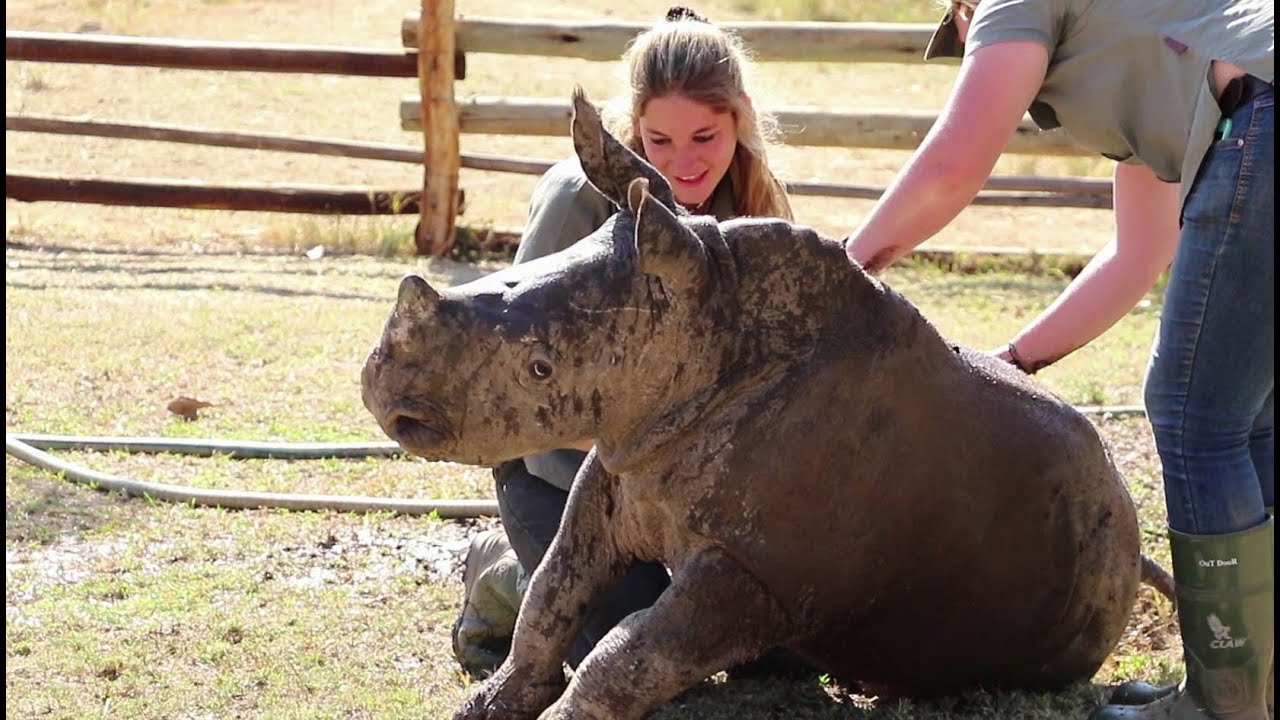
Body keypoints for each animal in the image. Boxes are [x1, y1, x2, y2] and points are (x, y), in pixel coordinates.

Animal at [361, 88, 1171, 720]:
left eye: (539, 368)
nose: (382, 396)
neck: (710, 323)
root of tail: (1131, 531)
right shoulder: (623, 460)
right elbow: (554, 594)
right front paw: (486, 704)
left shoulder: (757, 572)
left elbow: (630, 654)